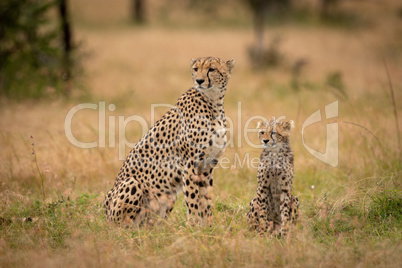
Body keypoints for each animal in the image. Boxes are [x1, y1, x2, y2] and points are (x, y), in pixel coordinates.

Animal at [104, 56, 236, 226]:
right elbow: (193, 199)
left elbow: (206, 199)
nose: (199, 80)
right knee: (123, 226)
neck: (213, 102)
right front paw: (194, 226)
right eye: (195, 69)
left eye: (211, 69)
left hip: (168, 195)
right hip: (131, 184)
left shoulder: (207, 166)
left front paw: (209, 226)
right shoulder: (189, 164)